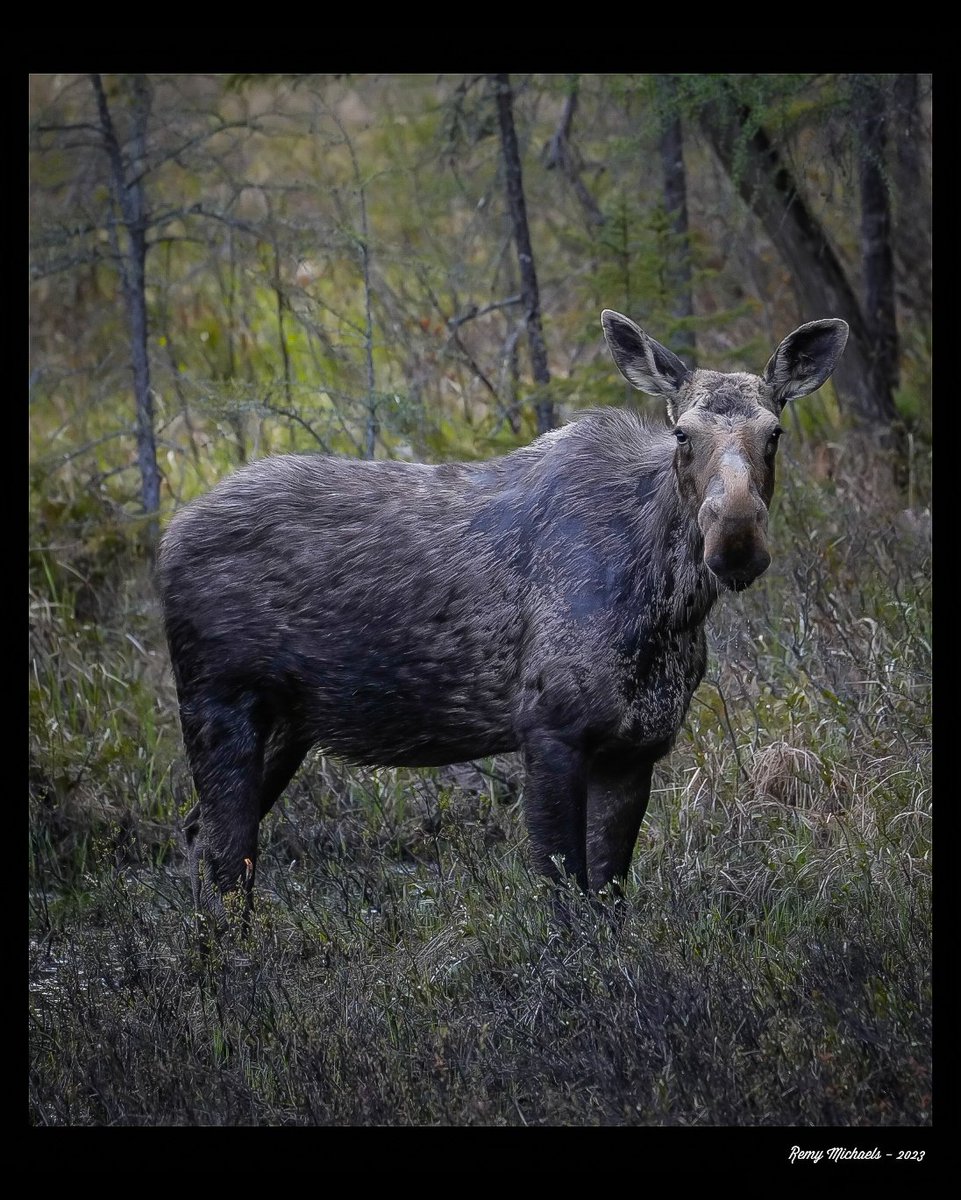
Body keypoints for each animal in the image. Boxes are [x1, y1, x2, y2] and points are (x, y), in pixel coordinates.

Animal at [159, 309, 849, 916]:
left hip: (284, 726)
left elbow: (608, 897)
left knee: (200, 836)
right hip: (218, 703)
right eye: (682, 433)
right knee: (225, 855)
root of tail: (166, 541)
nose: (735, 540)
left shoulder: (635, 747)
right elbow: (567, 899)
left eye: (775, 433)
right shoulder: (548, 727)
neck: (667, 608)